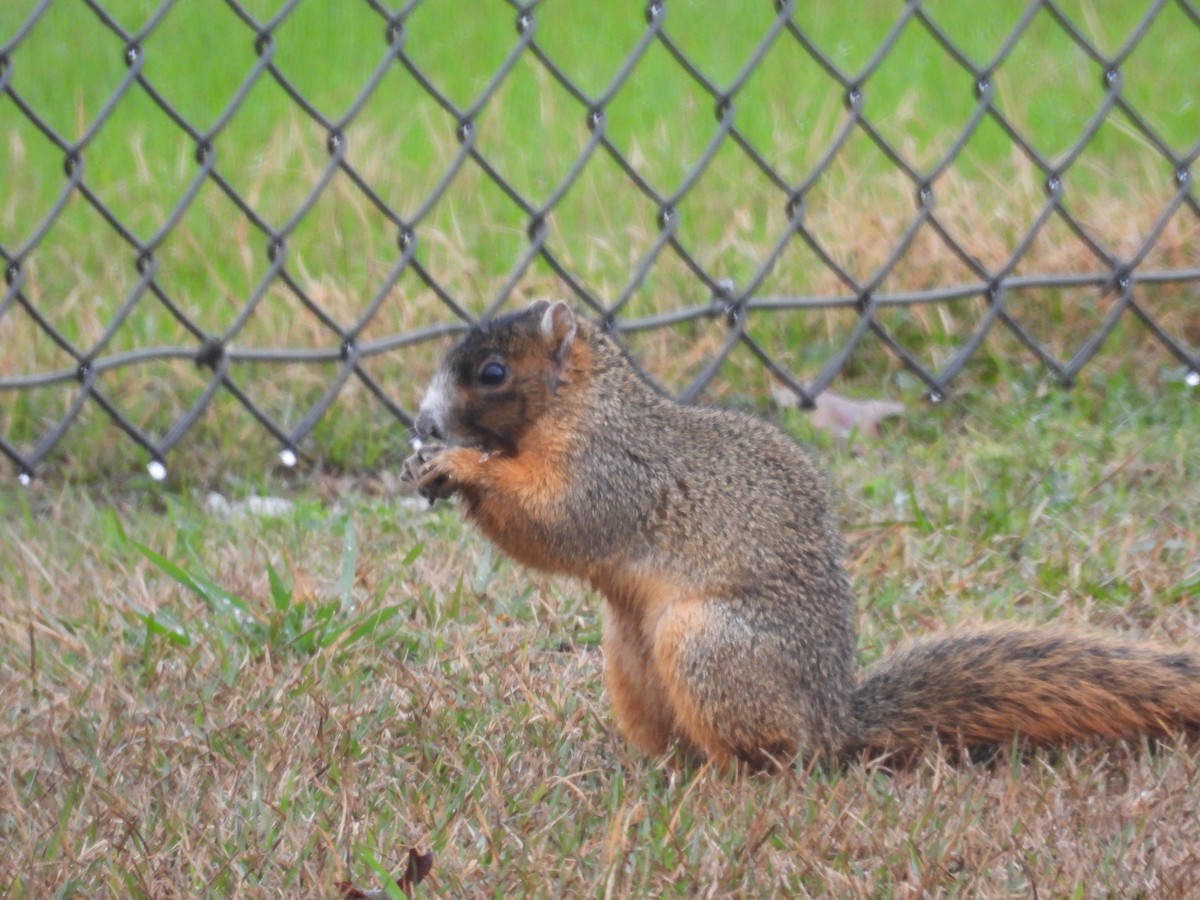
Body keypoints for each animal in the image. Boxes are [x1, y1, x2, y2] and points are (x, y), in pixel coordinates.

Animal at [401, 299, 1200, 770]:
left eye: (493, 372)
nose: (423, 423)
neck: (585, 407)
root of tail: (833, 724)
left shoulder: (612, 472)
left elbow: (556, 520)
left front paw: (459, 466)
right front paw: (426, 468)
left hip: (710, 645)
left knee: (768, 756)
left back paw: (725, 781)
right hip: (628, 661)